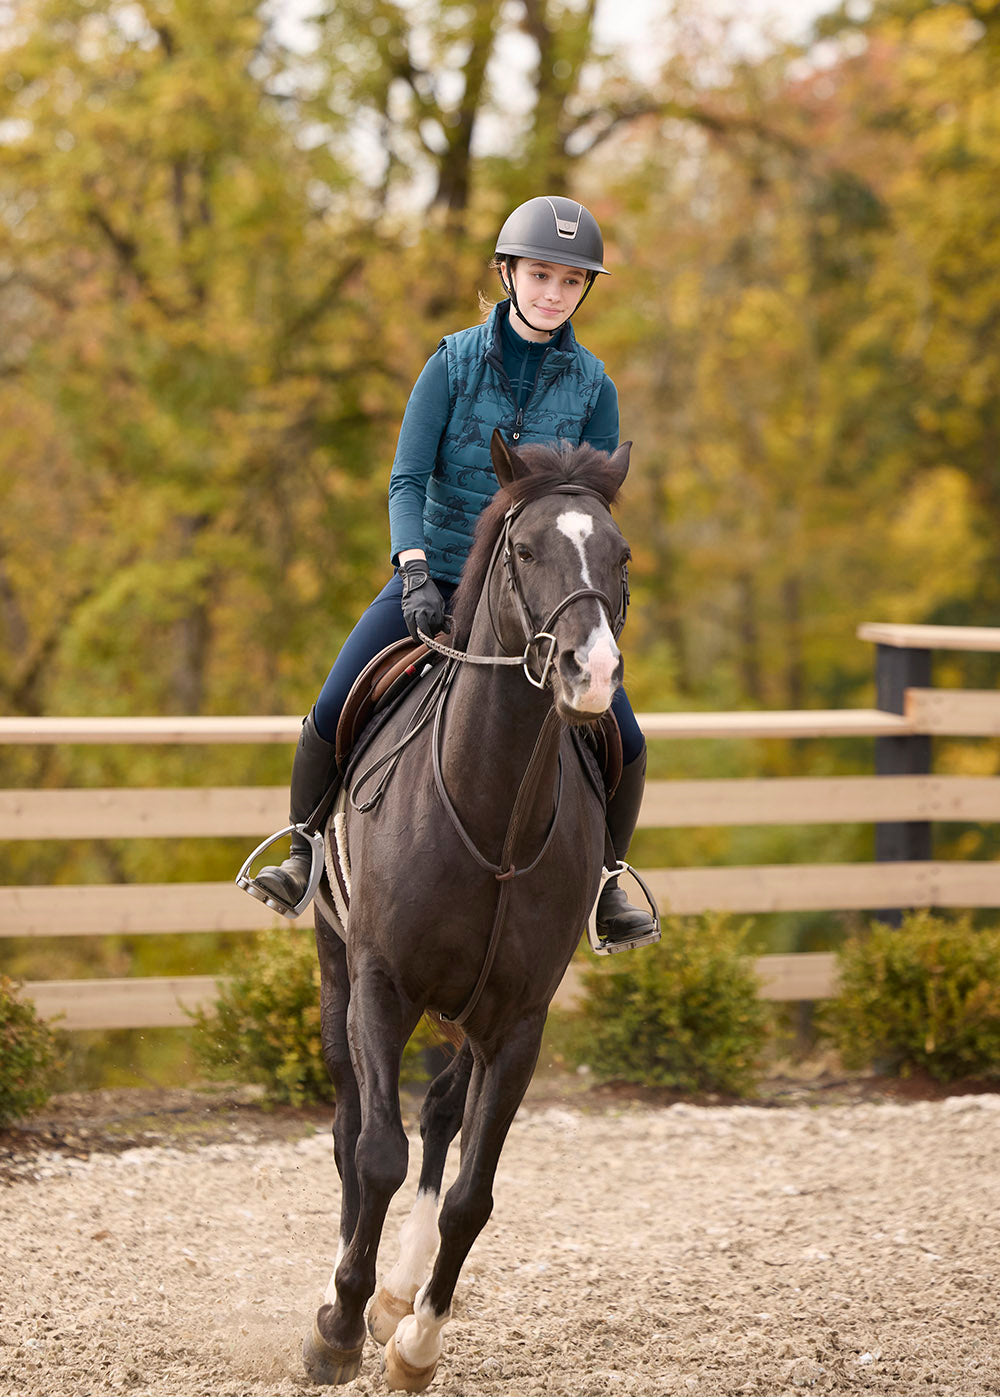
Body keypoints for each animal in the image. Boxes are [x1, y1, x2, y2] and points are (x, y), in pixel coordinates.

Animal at [303, 429, 634, 1393]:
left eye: (620, 555)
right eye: (524, 552)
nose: (592, 672)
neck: (491, 813)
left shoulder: (519, 1023)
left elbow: (471, 1195)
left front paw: (416, 1338)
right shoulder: (380, 986)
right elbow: (375, 1153)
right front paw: (335, 1327)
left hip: (471, 1018)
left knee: (444, 1116)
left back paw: (396, 1294)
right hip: (337, 972)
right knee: (352, 1128)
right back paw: (351, 1288)